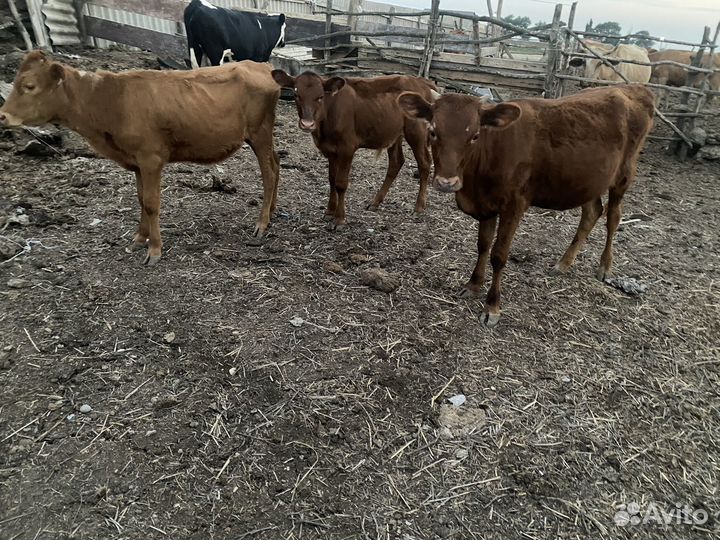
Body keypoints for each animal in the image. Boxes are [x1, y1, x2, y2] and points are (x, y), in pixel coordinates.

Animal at [0, 51, 281, 266]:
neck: (111, 101)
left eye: (29, 86)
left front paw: (154, 249)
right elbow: (140, 199)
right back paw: (272, 212)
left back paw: (261, 223)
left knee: (268, 174)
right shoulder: (135, 162)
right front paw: (139, 237)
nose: (2, 115)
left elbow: (152, 203)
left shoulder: (150, 159)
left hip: (259, 133)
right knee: (277, 165)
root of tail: (260, 65)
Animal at [271, 70, 436, 229]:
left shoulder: (347, 148)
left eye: (320, 97)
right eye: (296, 95)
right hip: (394, 133)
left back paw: (418, 206)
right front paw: (329, 211)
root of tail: (420, 81)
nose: (307, 124)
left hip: (416, 132)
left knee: (424, 163)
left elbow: (341, 183)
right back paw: (375, 202)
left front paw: (339, 219)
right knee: (396, 162)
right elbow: (332, 180)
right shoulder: (330, 150)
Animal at [397, 85, 654, 327]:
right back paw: (563, 263)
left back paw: (605, 266)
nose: (446, 182)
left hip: (623, 176)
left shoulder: (514, 205)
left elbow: (499, 255)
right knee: (592, 213)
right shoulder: (485, 206)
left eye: (475, 135)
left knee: (613, 217)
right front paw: (473, 285)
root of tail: (632, 88)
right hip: (587, 180)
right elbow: (482, 246)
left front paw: (492, 307)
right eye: (433, 131)